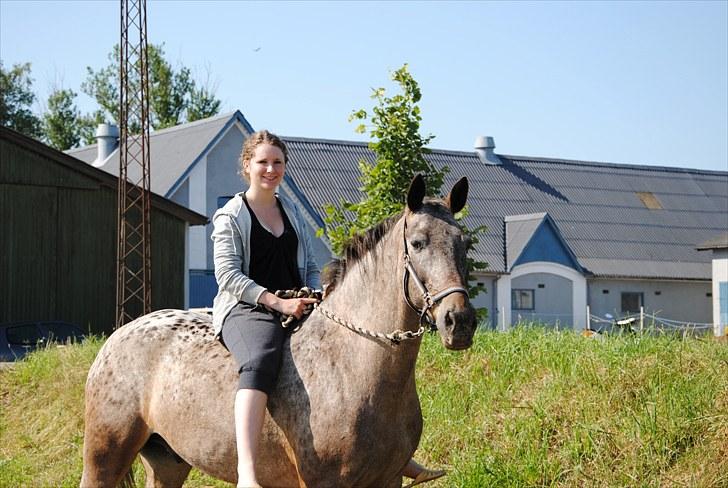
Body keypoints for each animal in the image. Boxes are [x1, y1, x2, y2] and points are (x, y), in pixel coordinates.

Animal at [81, 173, 478, 486]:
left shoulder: (388, 480)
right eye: (418, 243)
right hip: (104, 458)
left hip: (168, 462)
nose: (459, 322)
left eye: (464, 244)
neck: (352, 365)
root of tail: (117, 337)